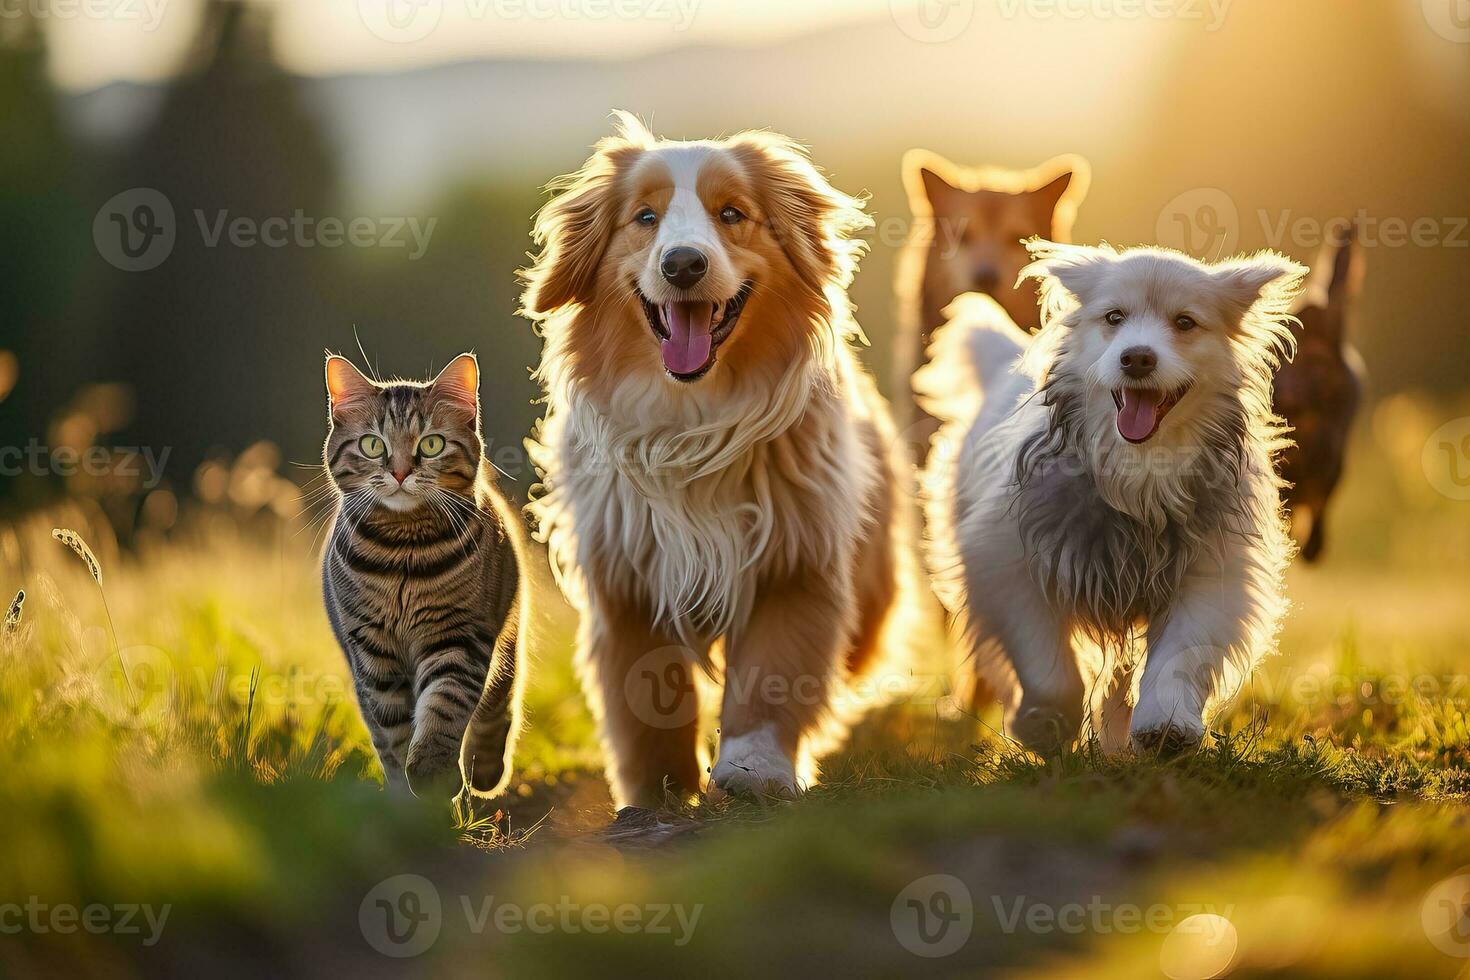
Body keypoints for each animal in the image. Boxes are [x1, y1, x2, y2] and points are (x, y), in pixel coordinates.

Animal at [323, 357, 529, 799]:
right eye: (373, 445)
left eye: (431, 444)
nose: (401, 472)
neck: (404, 549)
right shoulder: (372, 649)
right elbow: (394, 729)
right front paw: (411, 791)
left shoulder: (459, 637)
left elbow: (444, 704)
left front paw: (433, 770)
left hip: (506, 634)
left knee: (498, 702)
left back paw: (484, 770)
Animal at [917, 240, 1311, 758]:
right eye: (1114, 317)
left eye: (1185, 322)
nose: (1137, 358)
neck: (1138, 470)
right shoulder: (1003, 563)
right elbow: (1047, 666)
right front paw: (1047, 723)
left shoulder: (1212, 573)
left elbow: (1178, 655)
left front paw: (1165, 723)